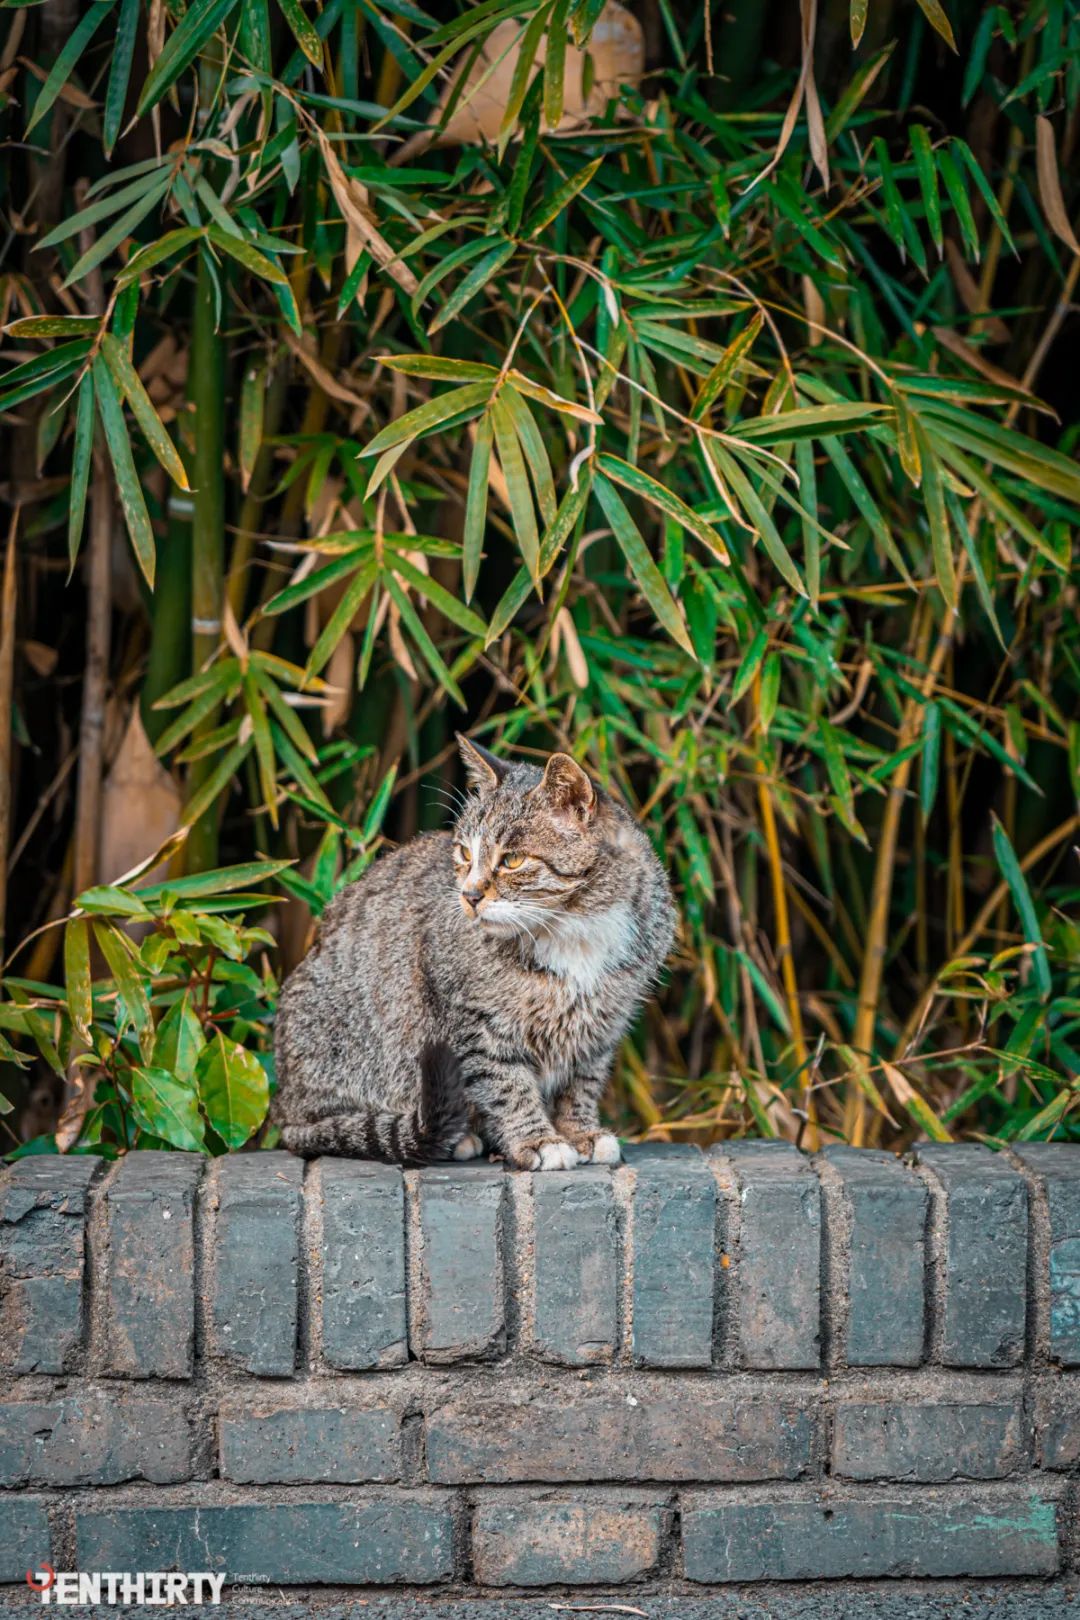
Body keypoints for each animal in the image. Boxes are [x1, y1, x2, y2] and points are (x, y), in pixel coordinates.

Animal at [270, 735, 676, 1166]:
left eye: (513, 859)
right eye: (465, 854)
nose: (469, 895)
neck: (573, 928)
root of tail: (284, 1108)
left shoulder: (602, 1025)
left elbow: (581, 1084)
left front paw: (579, 1132)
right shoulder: (477, 1027)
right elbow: (508, 1087)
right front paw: (538, 1141)